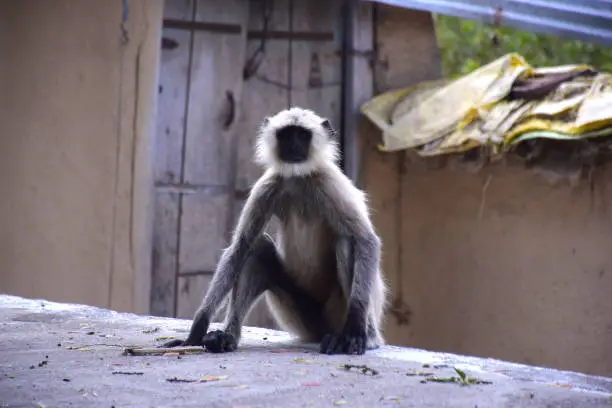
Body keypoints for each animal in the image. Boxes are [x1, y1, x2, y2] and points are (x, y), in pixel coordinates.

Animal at [163, 107, 390, 354]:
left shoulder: (330, 182)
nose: (293, 146)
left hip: (338, 310)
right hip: (303, 316)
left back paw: (364, 336)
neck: (299, 179)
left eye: (302, 135)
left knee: (347, 241)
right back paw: (227, 338)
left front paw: (356, 331)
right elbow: (240, 247)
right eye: (286, 134)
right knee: (258, 248)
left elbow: (366, 240)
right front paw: (196, 332)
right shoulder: (267, 186)